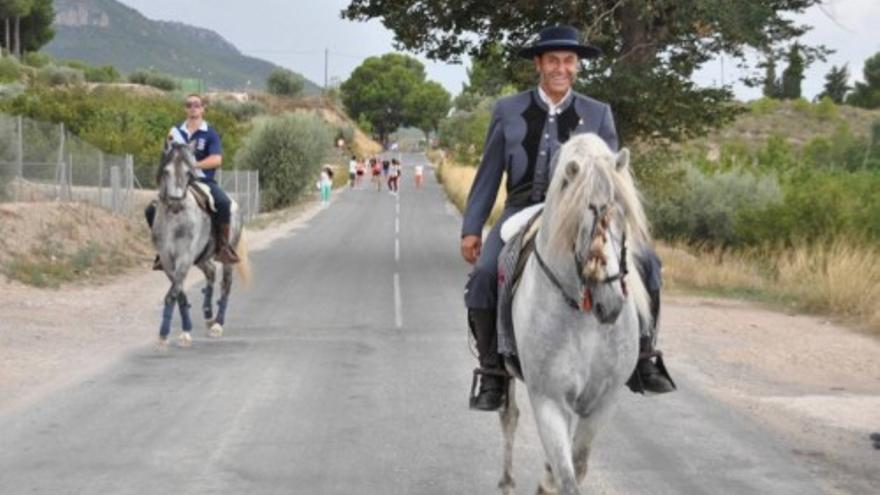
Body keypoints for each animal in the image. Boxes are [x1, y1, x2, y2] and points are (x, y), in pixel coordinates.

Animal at [151, 143, 251, 348]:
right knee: (211, 272)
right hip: (201, 258)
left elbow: (172, 293)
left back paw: (217, 325)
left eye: (189, 172)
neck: (175, 220)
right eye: (166, 171)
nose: (175, 203)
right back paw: (208, 316)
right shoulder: (167, 261)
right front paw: (185, 329)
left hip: (225, 257)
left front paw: (166, 334)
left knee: (225, 284)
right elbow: (179, 293)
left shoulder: (184, 258)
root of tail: (235, 204)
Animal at [498, 134, 648, 494]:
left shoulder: (603, 402)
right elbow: (566, 477)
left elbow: (576, 464)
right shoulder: (549, 400)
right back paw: (507, 482)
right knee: (509, 418)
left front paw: (546, 481)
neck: (584, 320)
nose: (610, 305)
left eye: (623, 217)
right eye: (582, 221)